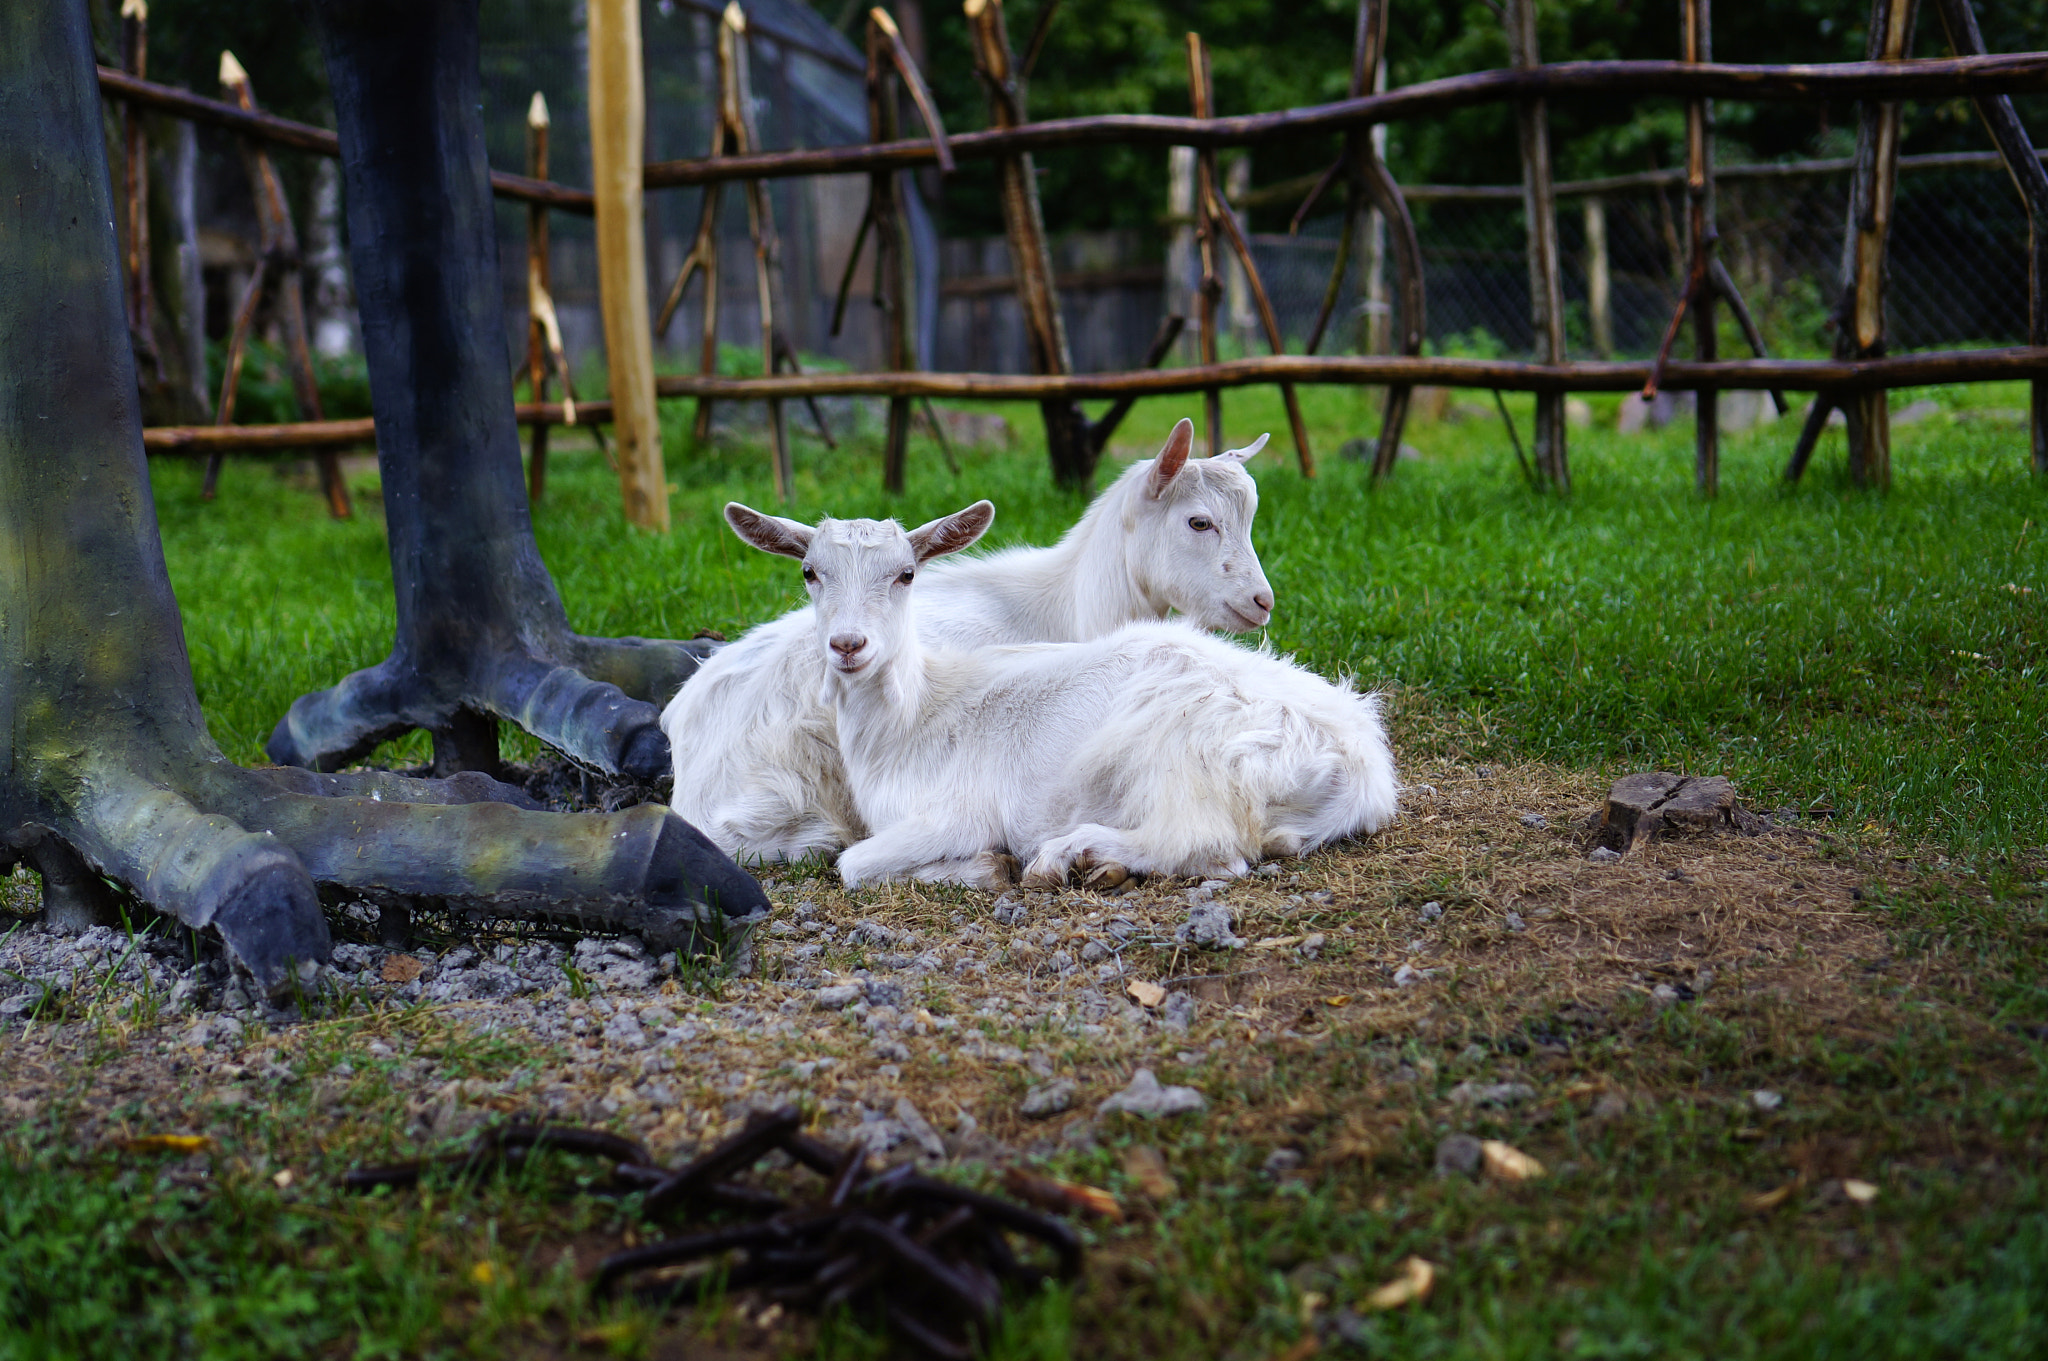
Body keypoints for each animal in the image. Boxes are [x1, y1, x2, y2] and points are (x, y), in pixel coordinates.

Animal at [722, 499, 1398, 890]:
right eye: (810, 572)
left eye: (906, 574)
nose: (848, 644)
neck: (909, 721)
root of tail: (1362, 768)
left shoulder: (954, 810)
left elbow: (852, 865)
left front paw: (986, 866)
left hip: (1177, 752)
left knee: (1205, 846)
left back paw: (1066, 857)